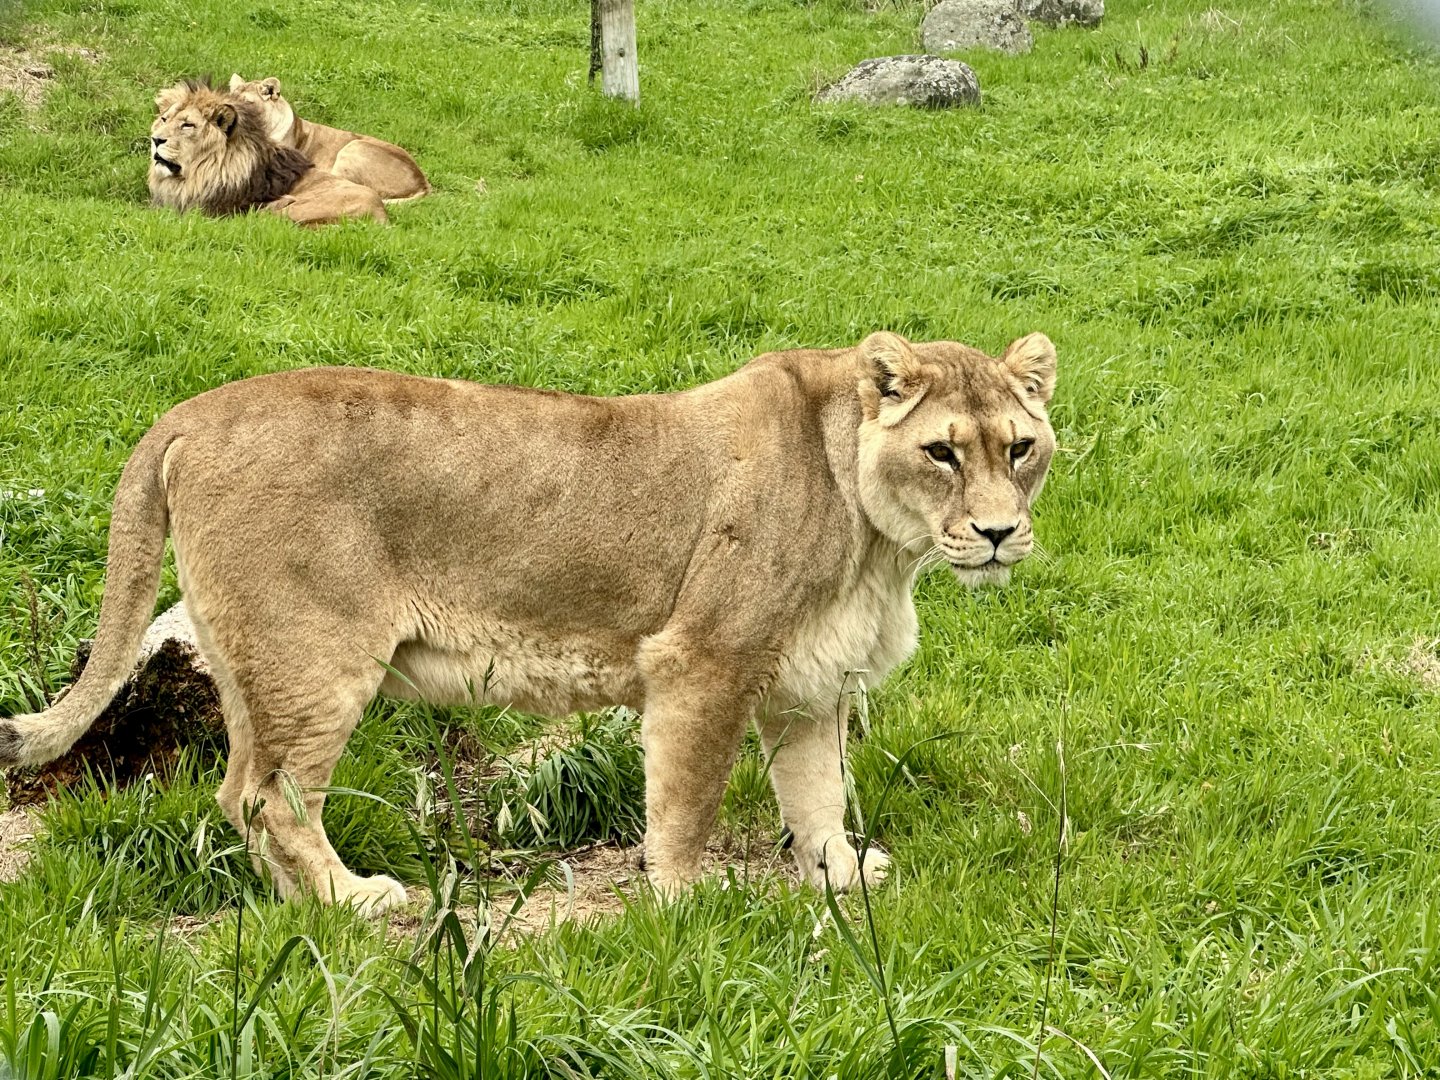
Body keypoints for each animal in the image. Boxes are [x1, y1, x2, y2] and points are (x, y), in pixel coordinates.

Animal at [0, 332, 1057, 916]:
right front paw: (686, 902)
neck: (882, 545)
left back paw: (302, 908)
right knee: (271, 798)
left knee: (237, 793)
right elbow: (689, 802)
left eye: (1020, 448)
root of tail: (189, 410)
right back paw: (354, 902)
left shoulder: (806, 684)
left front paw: (839, 877)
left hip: (249, 665)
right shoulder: (701, 662)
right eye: (941, 452)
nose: (1000, 534)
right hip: (315, 657)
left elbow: (817, 795)